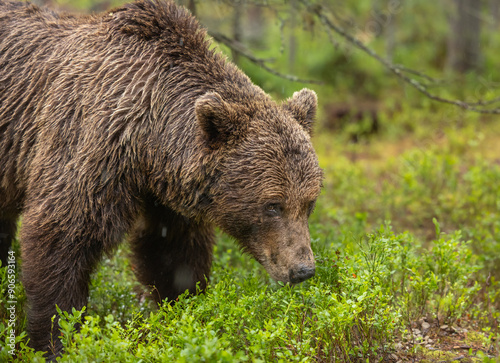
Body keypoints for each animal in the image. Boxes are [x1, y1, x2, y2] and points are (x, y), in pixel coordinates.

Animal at [0, 0, 320, 358]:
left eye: (309, 203)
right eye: (273, 205)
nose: (303, 270)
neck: (147, 140)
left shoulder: (170, 192)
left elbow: (172, 252)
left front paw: (184, 310)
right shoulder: (89, 144)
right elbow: (61, 236)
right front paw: (55, 341)